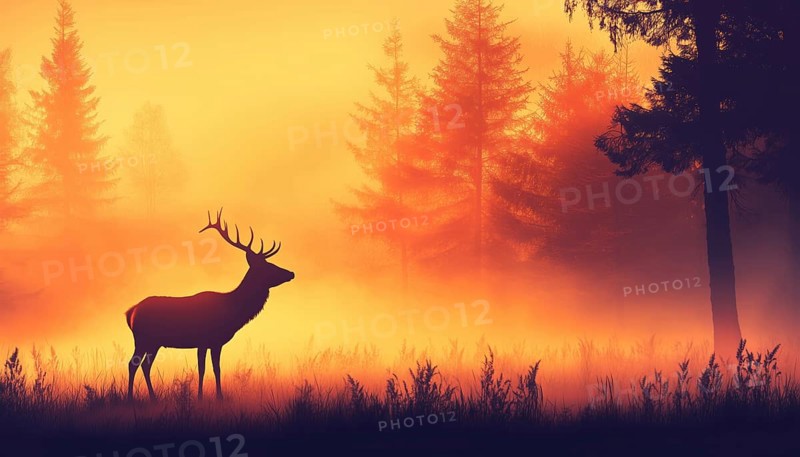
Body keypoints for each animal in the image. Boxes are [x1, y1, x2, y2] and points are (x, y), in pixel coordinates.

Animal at [125, 208, 294, 401]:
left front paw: (217, 396)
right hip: (142, 338)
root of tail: (130, 312)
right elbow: (204, 369)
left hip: (154, 342)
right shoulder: (205, 340)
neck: (232, 310)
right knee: (133, 364)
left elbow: (215, 368)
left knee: (145, 365)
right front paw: (202, 397)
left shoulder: (215, 342)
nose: (291, 273)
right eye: (268, 266)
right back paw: (130, 398)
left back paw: (153, 397)